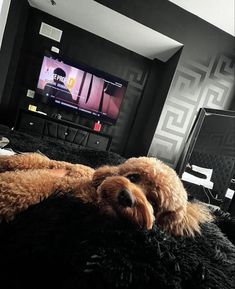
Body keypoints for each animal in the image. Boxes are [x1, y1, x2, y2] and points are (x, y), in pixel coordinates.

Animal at [0, 153, 213, 234]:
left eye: (154, 201)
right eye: (133, 177)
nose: (126, 196)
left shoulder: (61, 182)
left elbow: (30, 183)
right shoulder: (63, 181)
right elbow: (29, 183)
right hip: (44, 163)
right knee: (21, 160)